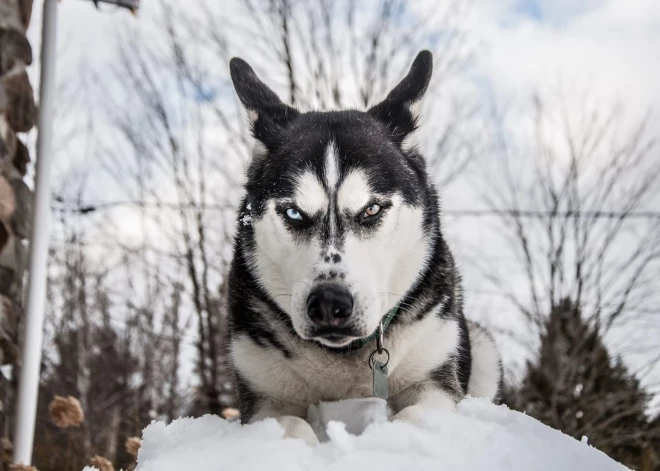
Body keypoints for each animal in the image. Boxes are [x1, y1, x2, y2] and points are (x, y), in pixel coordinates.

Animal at [227, 51, 500, 446]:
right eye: (294, 212)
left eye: (371, 209)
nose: (329, 303)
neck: (343, 358)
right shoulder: (265, 396)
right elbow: (288, 425)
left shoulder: (433, 381)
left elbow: (415, 417)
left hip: (483, 347)